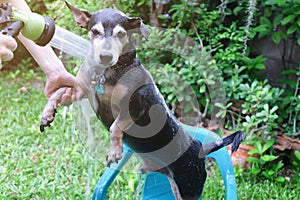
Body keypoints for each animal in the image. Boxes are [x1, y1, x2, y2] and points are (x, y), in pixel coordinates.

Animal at [39, 1, 245, 198]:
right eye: (94, 32)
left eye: (121, 34)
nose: (105, 56)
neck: (108, 73)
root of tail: (201, 147)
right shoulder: (81, 91)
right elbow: (58, 93)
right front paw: (47, 114)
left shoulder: (134, 108)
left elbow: (115, 127)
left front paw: (115, 150)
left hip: (189, 187)